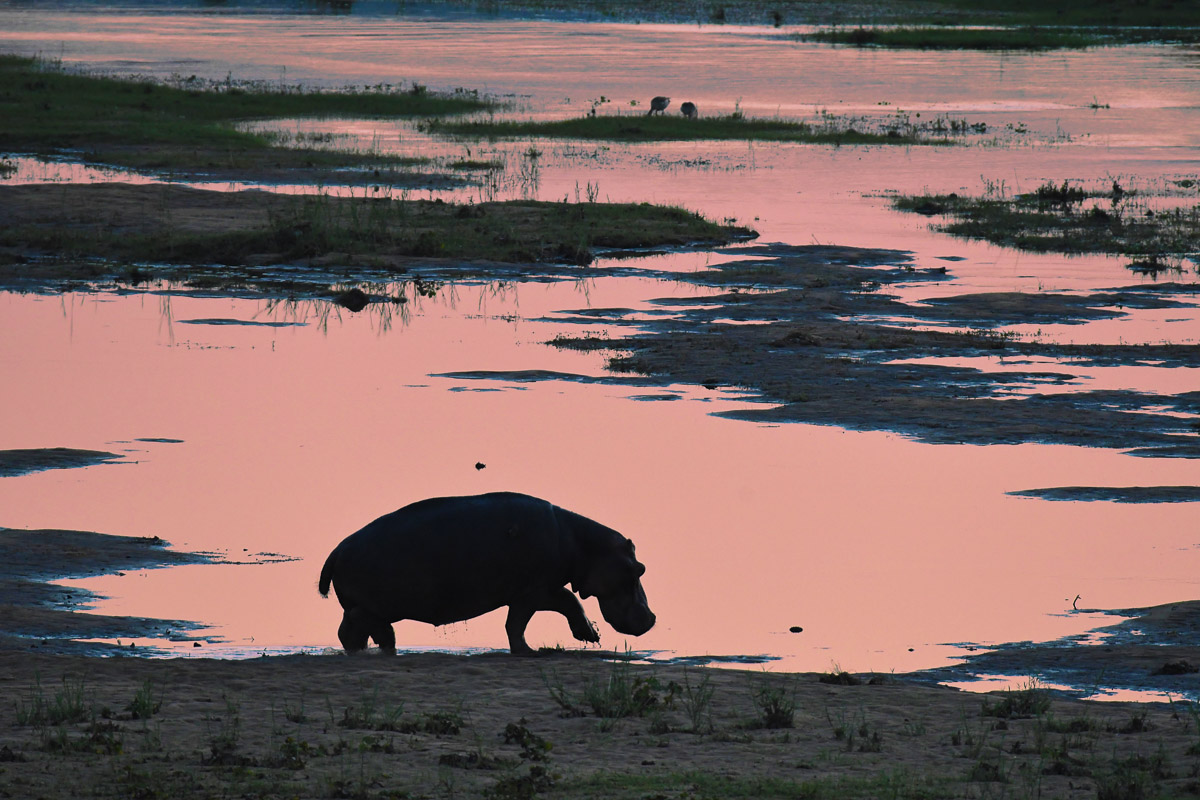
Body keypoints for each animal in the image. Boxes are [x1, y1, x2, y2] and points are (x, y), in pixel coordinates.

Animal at [318, 492, 656, 655]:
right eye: (638, 568)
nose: (652, 619)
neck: (585, 545)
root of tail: (336, 549)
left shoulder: (532, 592)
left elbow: (524, 620)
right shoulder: (536, 590)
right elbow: (553, 609)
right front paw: (580, 638)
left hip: (371, 608)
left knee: (359, 631)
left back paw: (379, 649)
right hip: (370, 606)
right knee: (356, 626)